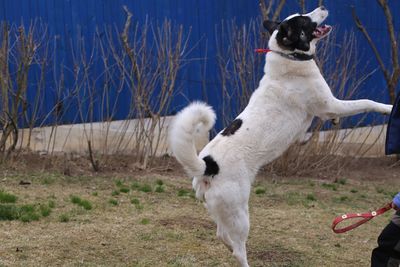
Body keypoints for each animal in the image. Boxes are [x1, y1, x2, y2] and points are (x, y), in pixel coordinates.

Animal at [168, 6, 390, 267]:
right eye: (304, 20)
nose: (322, 7)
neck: (288, 56)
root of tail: (207, 166)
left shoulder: (321, 112)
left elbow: (320, 124)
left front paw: (327, 126)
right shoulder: (329, 104)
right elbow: (365, 102)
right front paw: (388, 108)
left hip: (222, 210)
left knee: (222, 235)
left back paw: (227, 243)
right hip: (239, 212)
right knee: (238, 249)